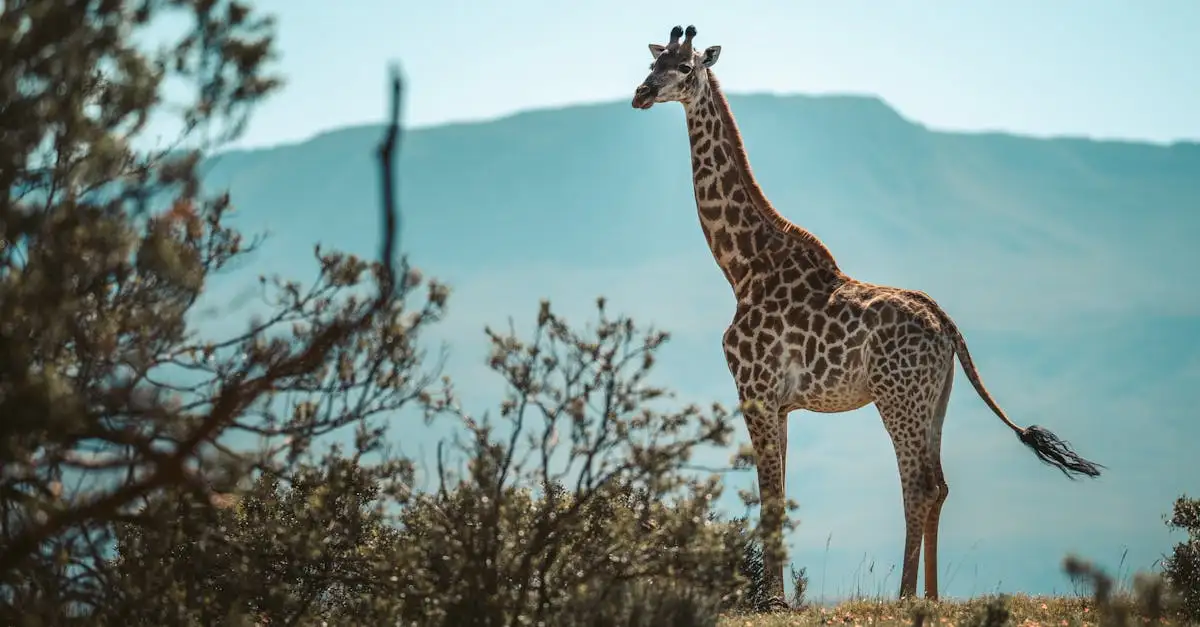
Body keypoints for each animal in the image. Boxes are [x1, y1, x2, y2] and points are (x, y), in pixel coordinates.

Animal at [631, 25, 1103, 607]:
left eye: (685, 67)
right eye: (653, 62)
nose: (641, 93)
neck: (740, 266)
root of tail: (948, 327)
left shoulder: (755, 391)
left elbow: (770, 498)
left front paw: (772, 602)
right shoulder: (782, 405)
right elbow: (780, 494)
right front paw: (779, 597)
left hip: (897, 397)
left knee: (919, 483)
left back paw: (903, 596)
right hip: (935, 399)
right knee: (939, 483)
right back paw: (930, 596)